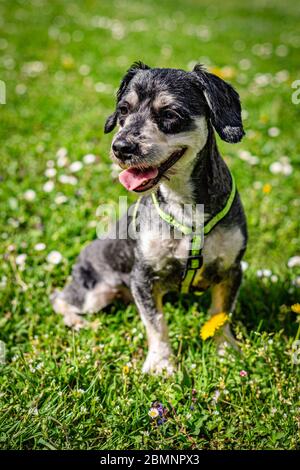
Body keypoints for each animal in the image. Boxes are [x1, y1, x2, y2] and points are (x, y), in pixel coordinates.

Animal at [52, 62, 248, 374]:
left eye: (169, 114)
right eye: (123, 109)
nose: (121, 147)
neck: (185, 206)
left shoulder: (232, 269)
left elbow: (221, 313)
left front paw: (225, 351)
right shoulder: (143, 276)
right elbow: (156, 323)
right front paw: (161, 363)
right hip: (94, 291)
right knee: (59, 299)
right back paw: (79, 323)